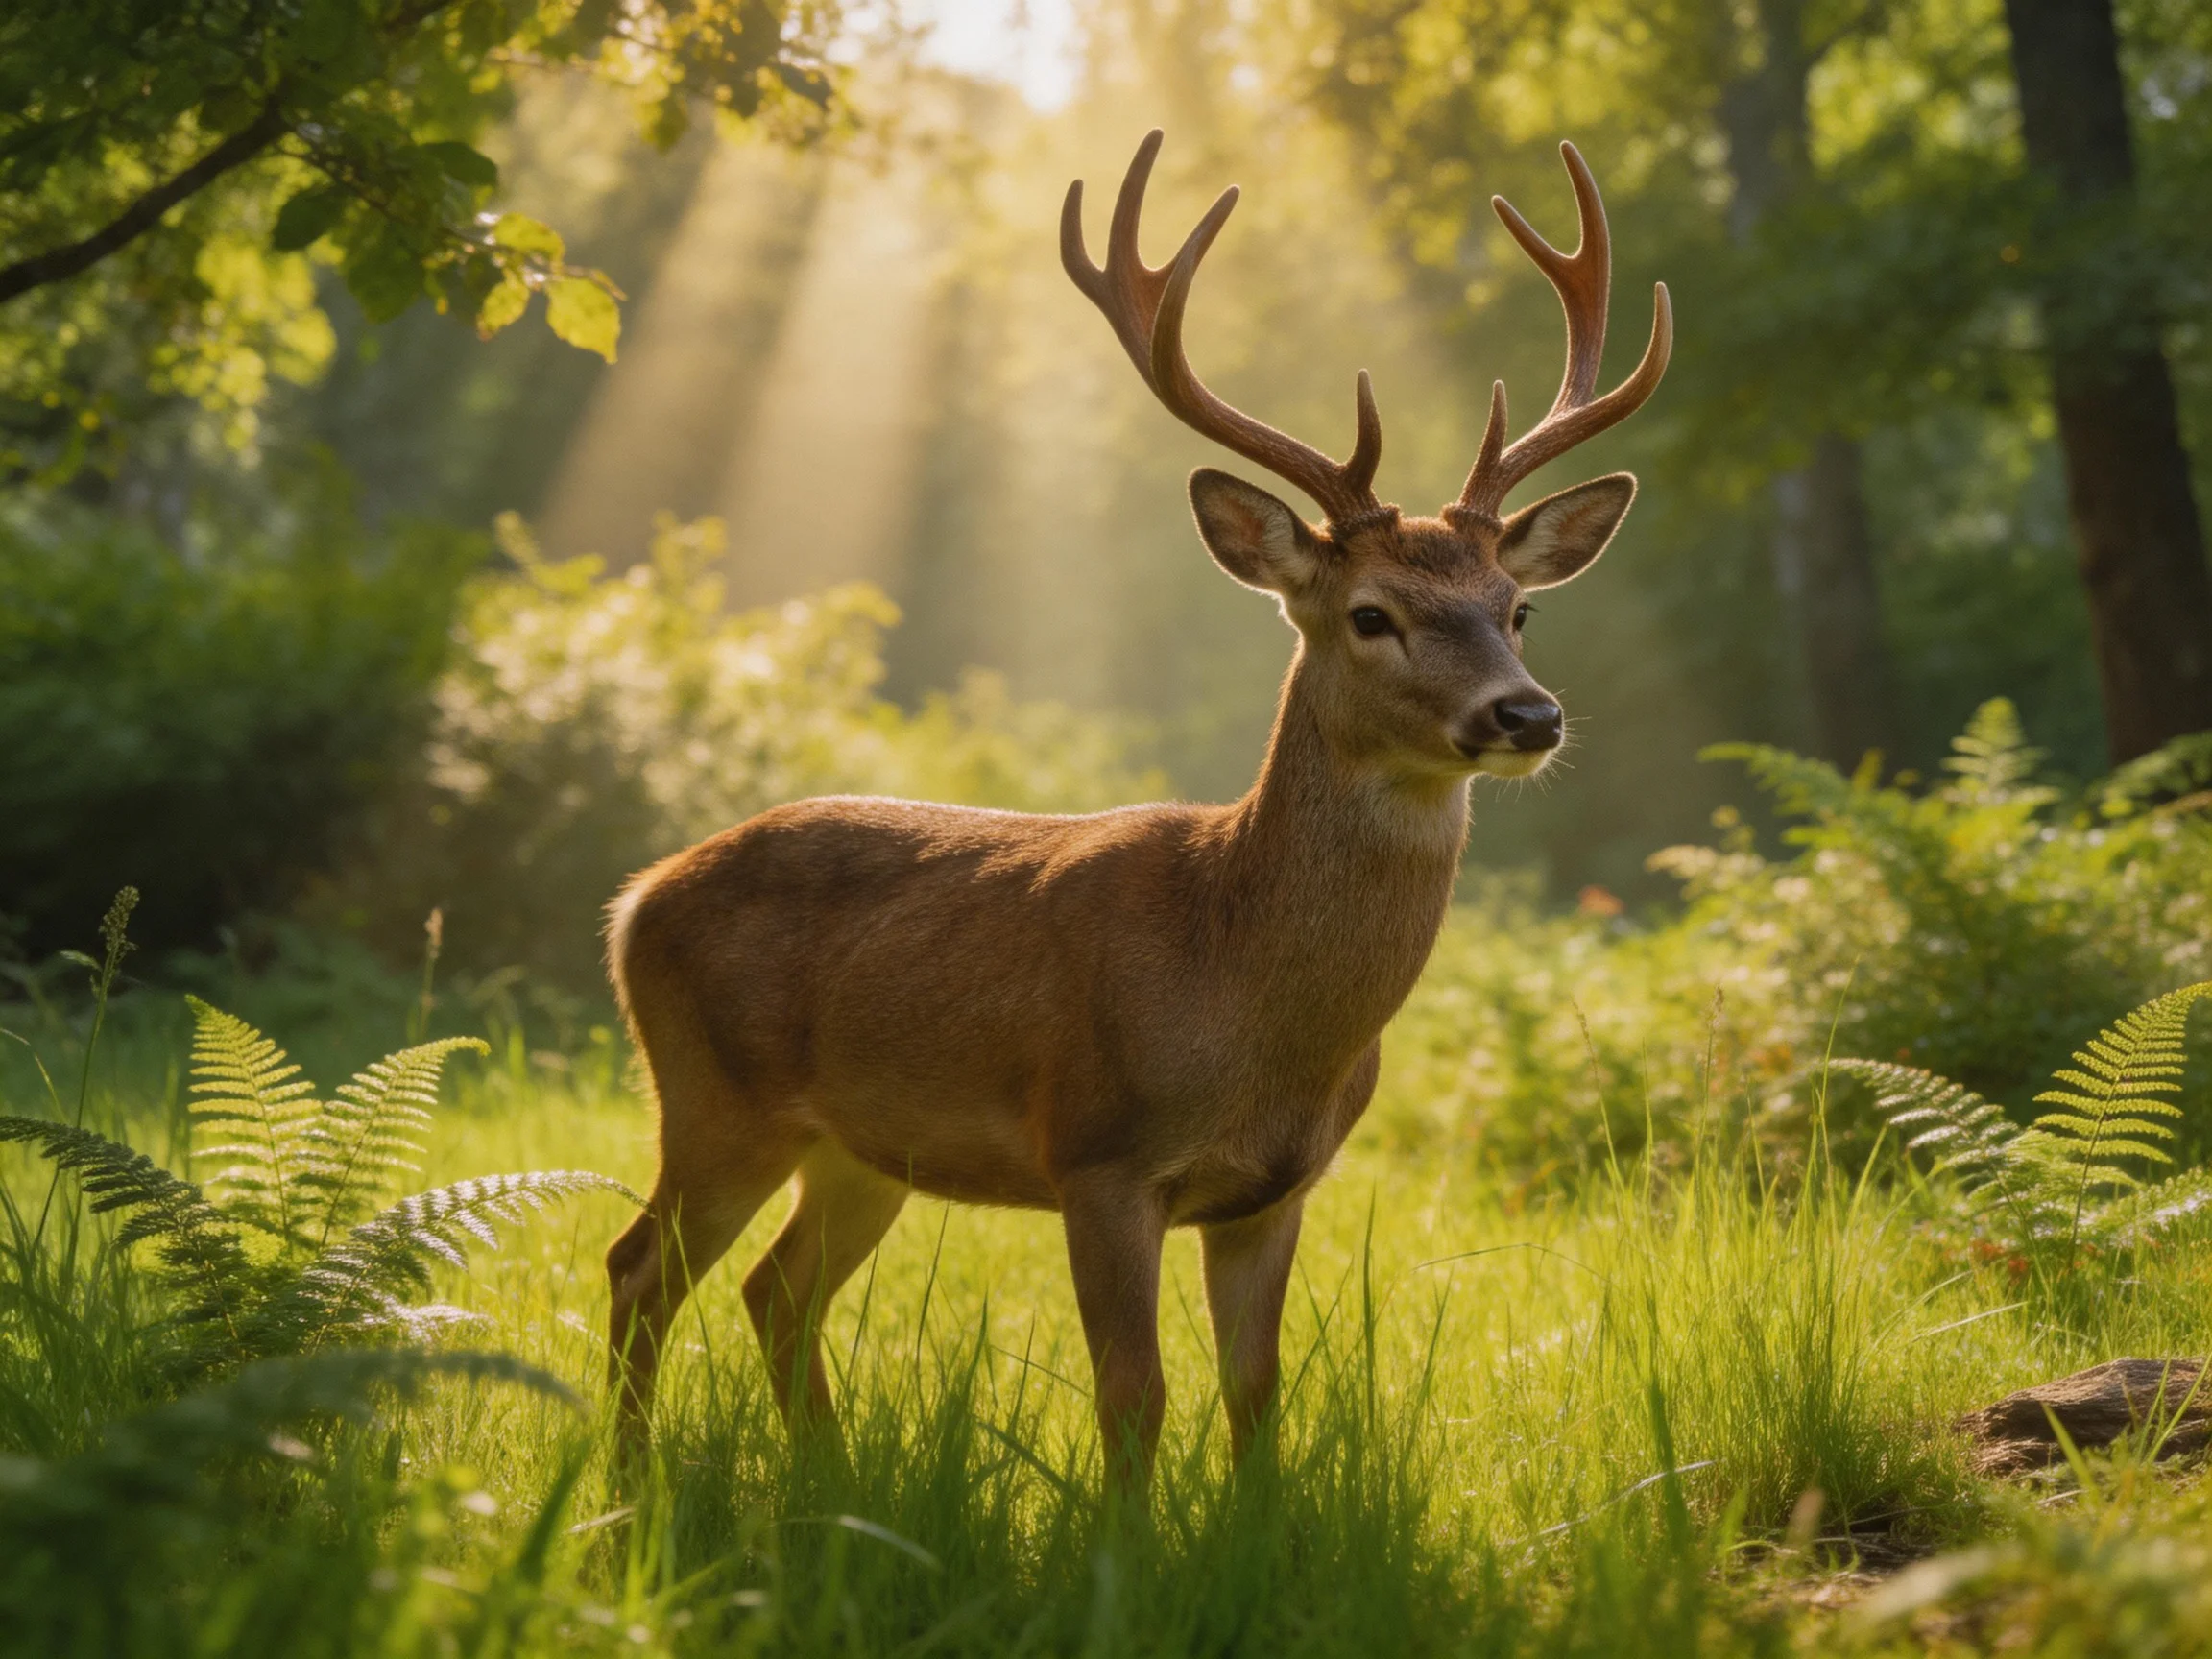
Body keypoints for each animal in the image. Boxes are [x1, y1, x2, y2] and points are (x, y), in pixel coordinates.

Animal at [604, 130, 1670, 1487]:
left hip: (859, 1147)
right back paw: (628, 1488)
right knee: (638, 1269)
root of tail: (636, 898)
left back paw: (825, 1485)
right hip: (712, 1098)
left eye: (1516, 608)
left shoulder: (1277, 1190)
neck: (1245, 995)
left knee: (774, 1290)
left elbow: (1256, 1393)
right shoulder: (1098, 1155)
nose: (1526, 716)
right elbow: (1135, 1395)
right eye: (1370, 613)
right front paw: (1124, 1538)